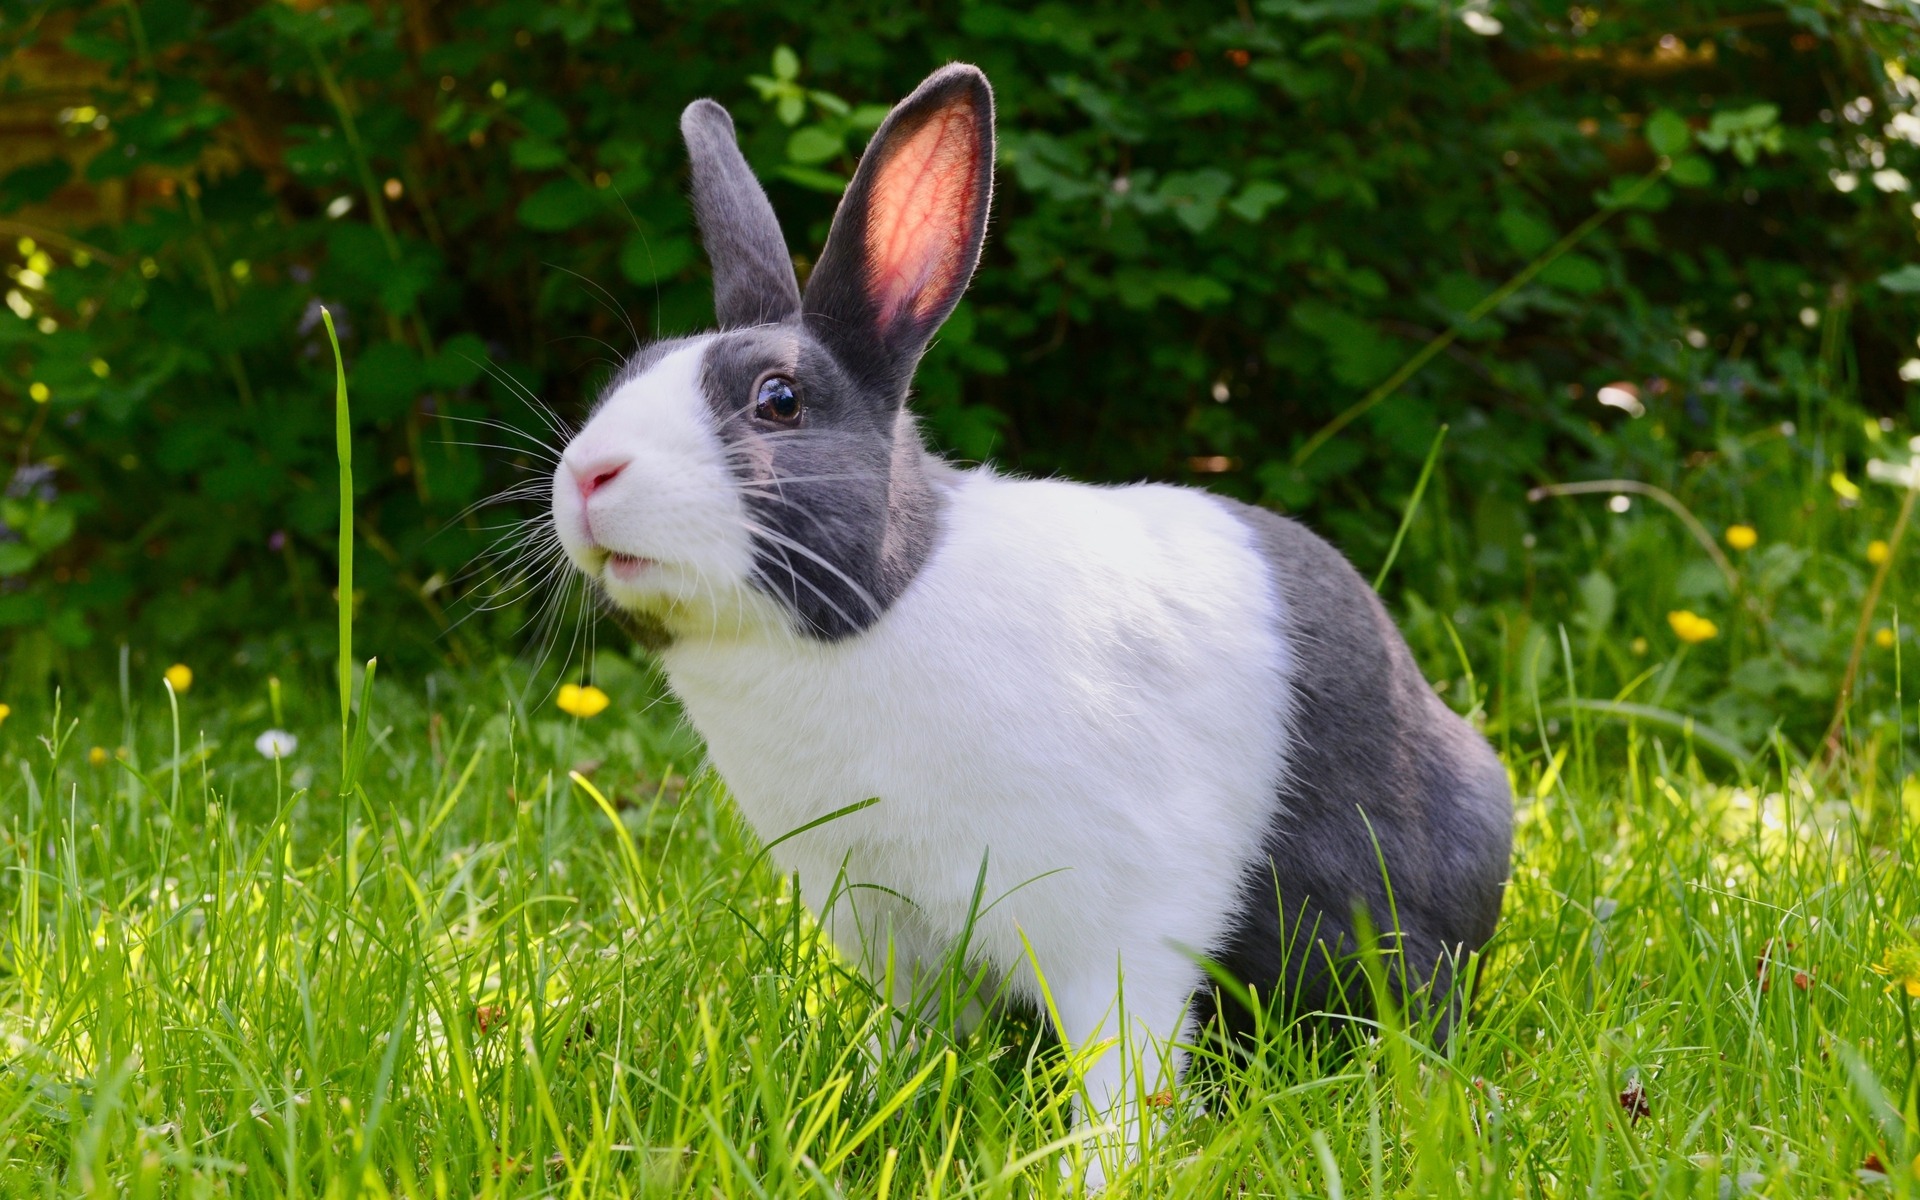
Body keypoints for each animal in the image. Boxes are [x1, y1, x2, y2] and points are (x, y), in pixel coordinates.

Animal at [552, 63, 1512, 1182]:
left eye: (778, 400)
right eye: (629, 375)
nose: (588, 475)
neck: (880, 610)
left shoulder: (1117, 920)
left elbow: (1123, 1059)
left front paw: (1102, 1170)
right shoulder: (886, 922)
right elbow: (908, 1036)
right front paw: (865, 1107)